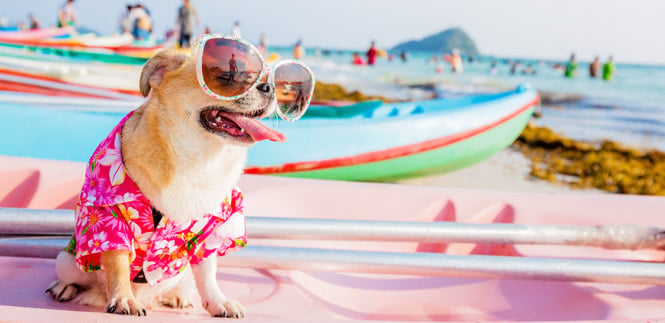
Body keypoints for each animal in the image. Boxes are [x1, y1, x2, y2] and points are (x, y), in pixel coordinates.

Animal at [46, 48, 286, 318]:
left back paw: (176, 296)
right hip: (67, 262)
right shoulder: (109, 218)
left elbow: (208, 274)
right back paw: (64, 287)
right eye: (227, 76)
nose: (270, 87)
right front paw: (123, 298)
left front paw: (218, 302)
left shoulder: (210, 233)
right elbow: (118, 262)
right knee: (75, 276)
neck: (198, 160)